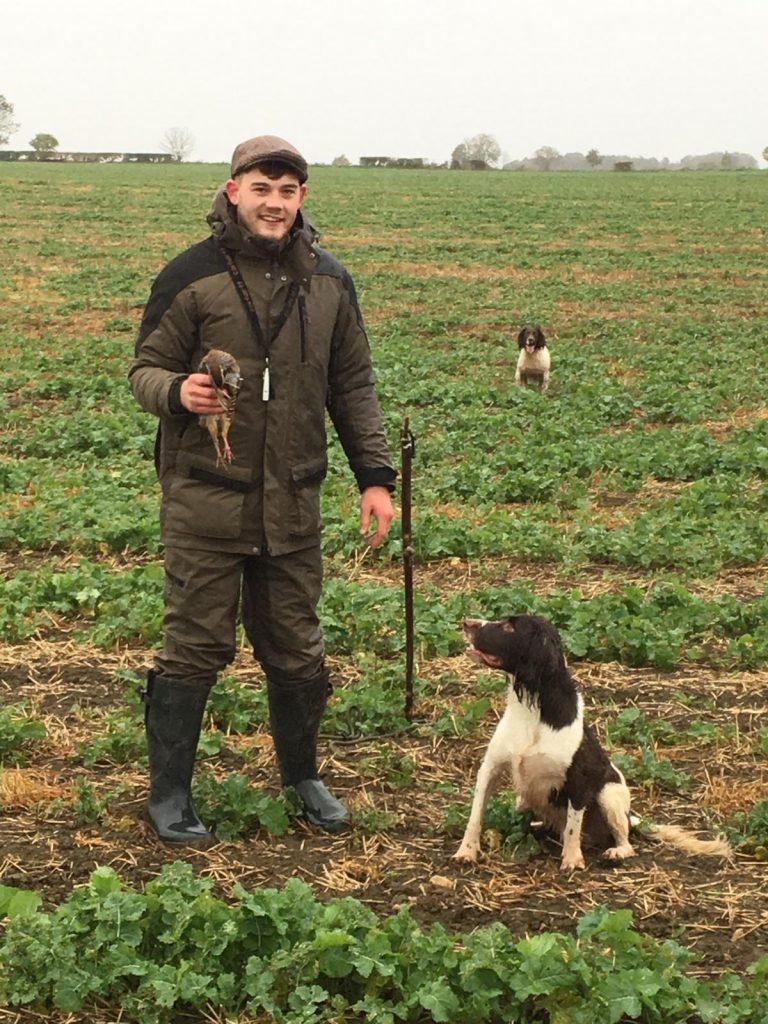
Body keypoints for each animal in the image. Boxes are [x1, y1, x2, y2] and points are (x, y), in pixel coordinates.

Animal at [456, 614, 733, 872]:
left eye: (509, 627)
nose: (466, 622)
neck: (532, 712)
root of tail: (632, 818)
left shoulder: (579, 781)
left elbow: (572, 827)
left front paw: (572, 860)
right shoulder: (490, 769)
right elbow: (475, 817)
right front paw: (466, 851)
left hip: (609, 793)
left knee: (625, 842)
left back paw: (615, 853)